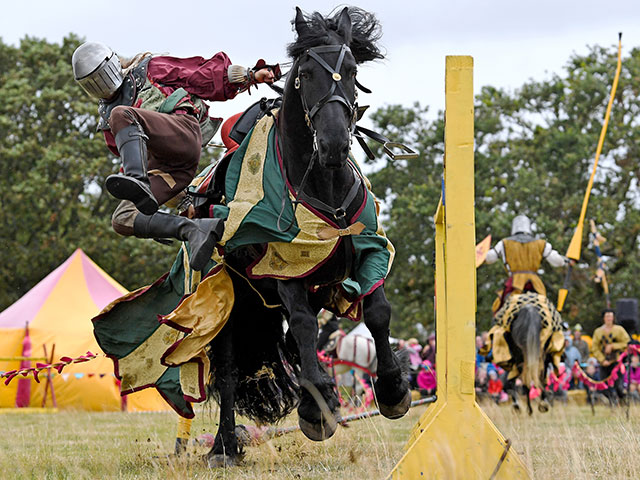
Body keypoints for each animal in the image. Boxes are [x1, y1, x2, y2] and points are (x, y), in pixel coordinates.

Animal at [205, 6, 408, 464]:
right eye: (307, 74)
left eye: (351, 70)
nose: (333, 143)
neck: (322, 184)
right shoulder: (285, 268)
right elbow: (300, 323)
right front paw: (316, 409)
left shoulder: (367, 250)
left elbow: (378, 311)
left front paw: (392, 388)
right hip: (231, 296)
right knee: (228, 371)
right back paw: (225, 445)